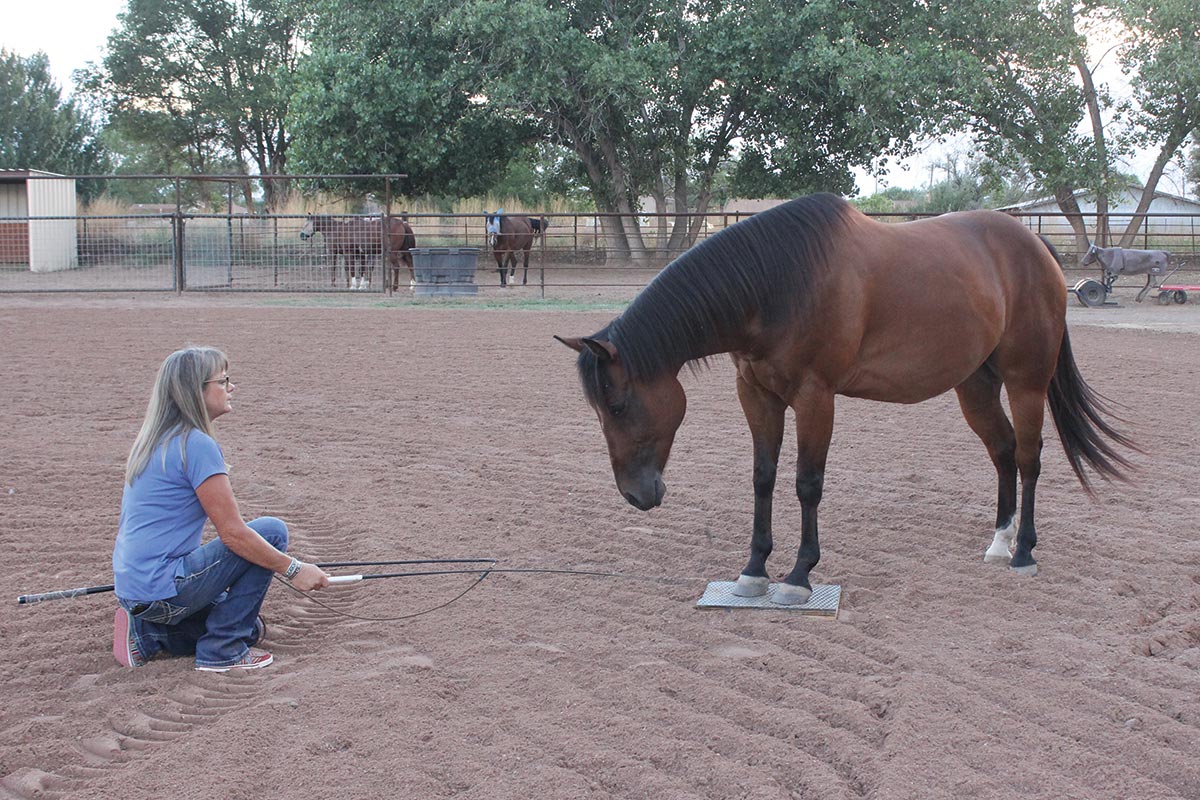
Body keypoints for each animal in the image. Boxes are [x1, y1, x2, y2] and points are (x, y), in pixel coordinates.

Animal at [552, 194, 1132, 604]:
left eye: (618, 405)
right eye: (599, 409)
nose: (636, 495)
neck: (778, 282)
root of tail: (1036, 249)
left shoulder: (816, 396)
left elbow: (807, 483)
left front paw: (798, 575)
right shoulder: (756, 394)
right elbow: (763, 478)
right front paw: (753, 570)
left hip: (1025, 380)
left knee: (1030, 457)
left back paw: (1024, 552)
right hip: (975, 385)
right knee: (1004, 451)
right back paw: (999, 542)